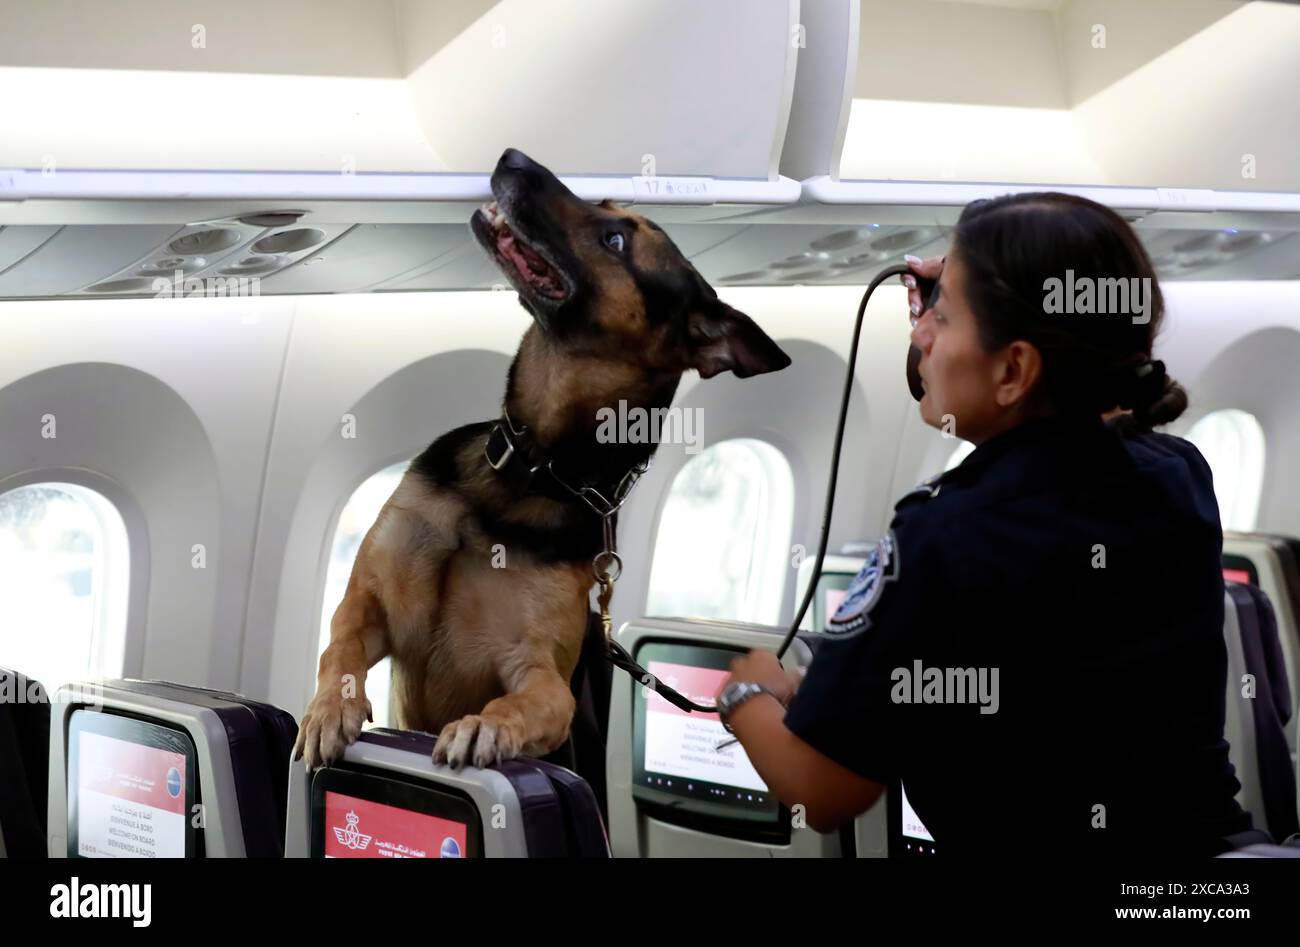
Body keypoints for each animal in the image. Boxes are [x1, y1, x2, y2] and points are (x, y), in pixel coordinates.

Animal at [292, 148, 790, 770]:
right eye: (608, 210)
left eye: (616, 240)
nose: (513, 157)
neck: (526, 472)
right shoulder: (369, 601)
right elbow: (338, 651)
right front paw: (329, 711)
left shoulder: (541, 674)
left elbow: (527, 703)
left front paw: (485, 727)